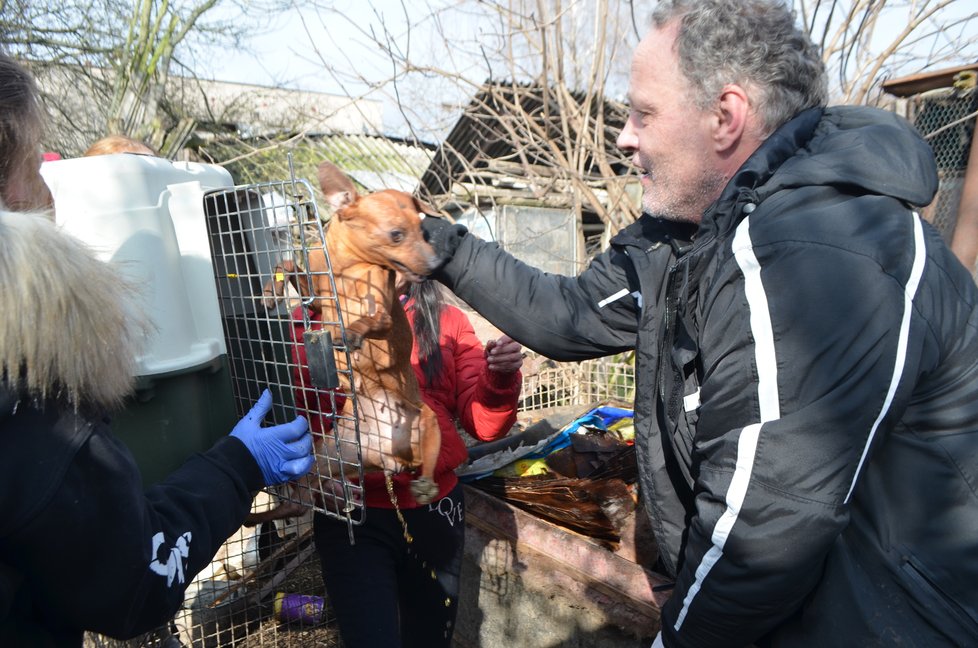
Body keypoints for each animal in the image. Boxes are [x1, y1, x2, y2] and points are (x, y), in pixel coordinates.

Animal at [264, 161, 438, 506]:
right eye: (396, 235)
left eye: (423, 232)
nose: (436, 264)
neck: (348, 266)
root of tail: (385, 457)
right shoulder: (316, 298)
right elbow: (288, 264)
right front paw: (270, 291)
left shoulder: (383, 313)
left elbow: (372, 319)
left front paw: (351, 332)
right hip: (327, 455)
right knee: (307, 488)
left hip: (426, 421)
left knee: (427, 465)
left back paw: (426, 485)